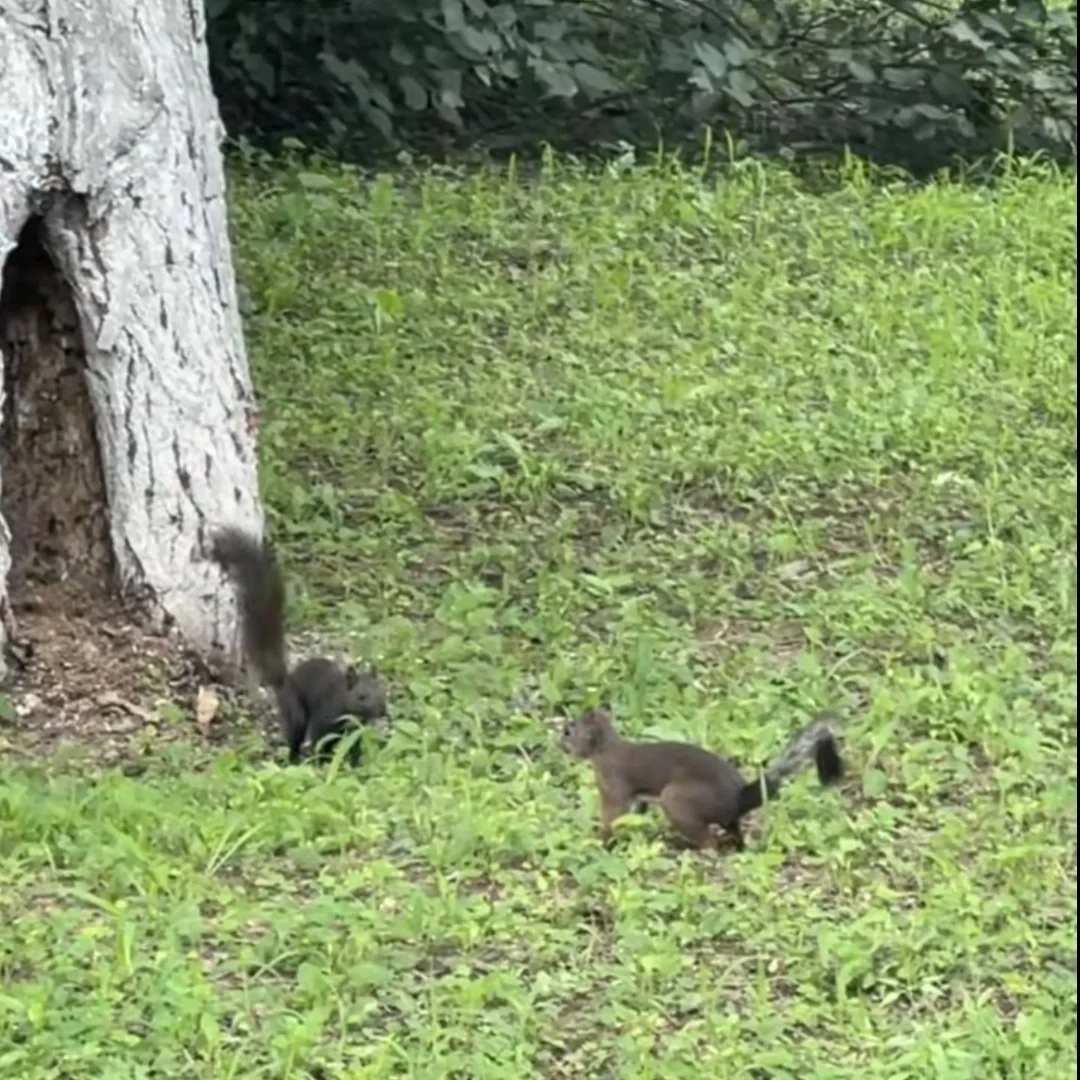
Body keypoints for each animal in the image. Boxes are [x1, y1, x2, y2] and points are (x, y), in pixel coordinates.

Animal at [207, 527, 388, 764]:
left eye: (383, 691)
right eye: (362, 696)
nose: (383, 711)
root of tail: (285, 682)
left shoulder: (355, 732)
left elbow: (353, 748)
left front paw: (355, 764)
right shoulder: (324, 718)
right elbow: (321, 741)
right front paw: (323, 761)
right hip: (295, 713)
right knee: (295, 735)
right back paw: (295, 759)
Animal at [561, 708, 846, 851]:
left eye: (569, 731)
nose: (558, 744)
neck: (604, 748)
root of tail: (737, 800)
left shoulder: (613, 783)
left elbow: (613, 814)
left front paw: (601, 840)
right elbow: (636, 811)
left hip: (678, 801)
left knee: (708, 842)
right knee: (733, 833)